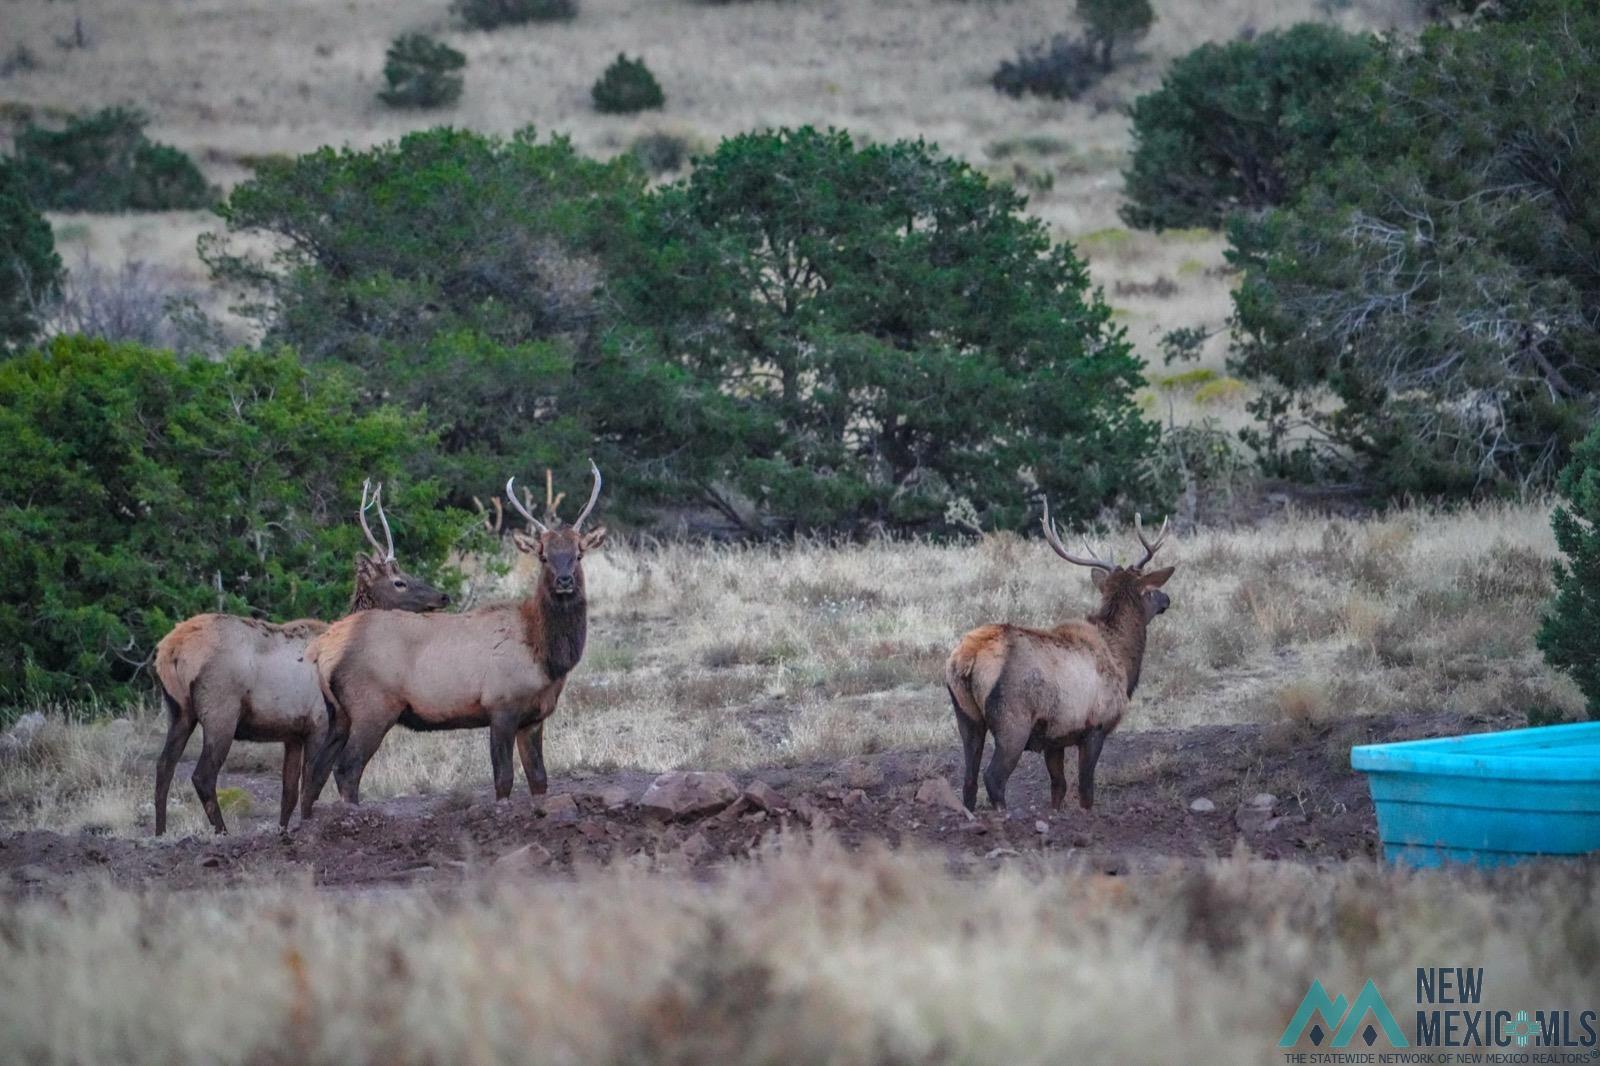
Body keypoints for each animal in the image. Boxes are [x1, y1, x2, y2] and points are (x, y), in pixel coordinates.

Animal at [151, 476, 451, 832]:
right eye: (399, 582)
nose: (443, 596)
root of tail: (169, 651)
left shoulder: (292, 732)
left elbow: (288, 792)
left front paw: (285, 830)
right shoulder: (319, 722)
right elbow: (312, 782)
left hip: (178, 710)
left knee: (163, 768)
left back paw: (160, 832)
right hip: (220, 708)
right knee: (202, 776)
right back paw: (221, 832)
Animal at [300, 457, 604, 813]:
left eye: (579, 553)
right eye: (543, 555)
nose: (565, 580)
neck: (545, 656)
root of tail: (322, 648)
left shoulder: (534, 716)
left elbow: (539, 780)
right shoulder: (501, 705)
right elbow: (503, 779)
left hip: (338, 715)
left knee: (315, 774)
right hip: (372, 706)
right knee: (347, 769)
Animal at [934, 505, 1177, 813]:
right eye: (1150, 589)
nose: (1167, 599)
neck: (1123, 660)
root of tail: (967, 657)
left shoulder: (1054, 739)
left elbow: (1058, 788)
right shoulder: (1095, 725)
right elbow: (1085, 790)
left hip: (967, 718)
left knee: (969, 780)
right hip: (1013, 720)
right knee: (993, 778)